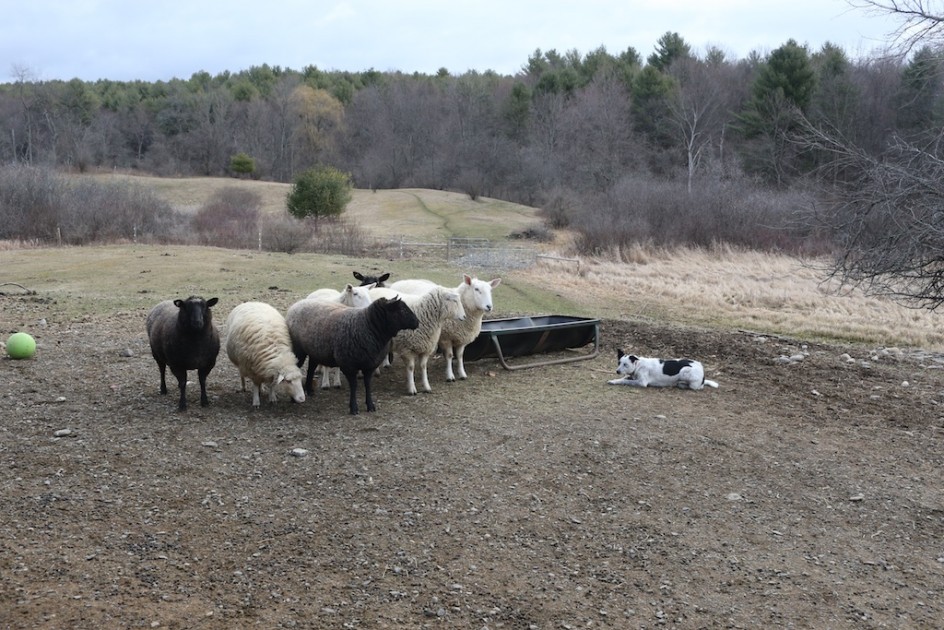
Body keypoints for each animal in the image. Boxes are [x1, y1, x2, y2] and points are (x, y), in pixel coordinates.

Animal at [286, 296, 418, 414]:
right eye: (402, 310)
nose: (417, 322)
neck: (367, 326)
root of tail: (296, 304)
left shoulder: (370, 365)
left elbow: (367, 384)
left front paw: (370, 405)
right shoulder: (348, 365)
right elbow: (354, 386)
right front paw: (354, 408)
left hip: (315, 350)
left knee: (311, 368)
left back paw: (309, 390)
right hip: (298, 350)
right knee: (296, 368)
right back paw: (294, 398)